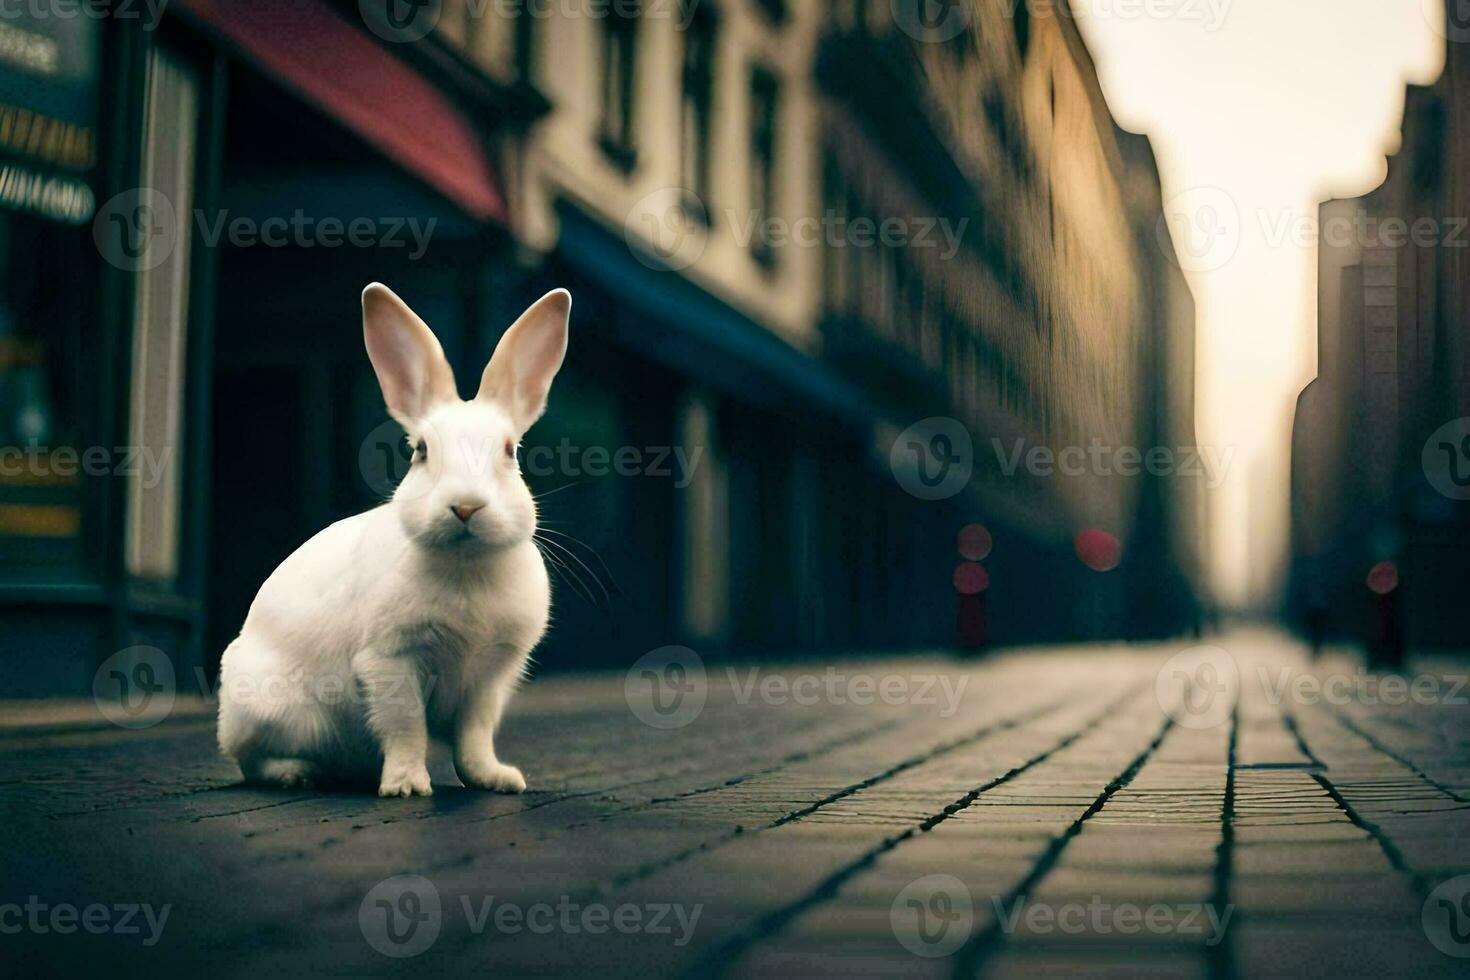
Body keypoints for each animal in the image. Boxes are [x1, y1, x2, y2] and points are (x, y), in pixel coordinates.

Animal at [214, 282, 570, 799]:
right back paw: (298, 773)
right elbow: (407, 727)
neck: (465, 565)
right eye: (420, 451)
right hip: (270, 711)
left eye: (510, 452)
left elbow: (474, 736)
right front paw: (406, 786)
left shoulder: (488, 676)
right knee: (251, 760)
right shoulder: (391, 659)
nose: (466, 506)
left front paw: (496, 779)